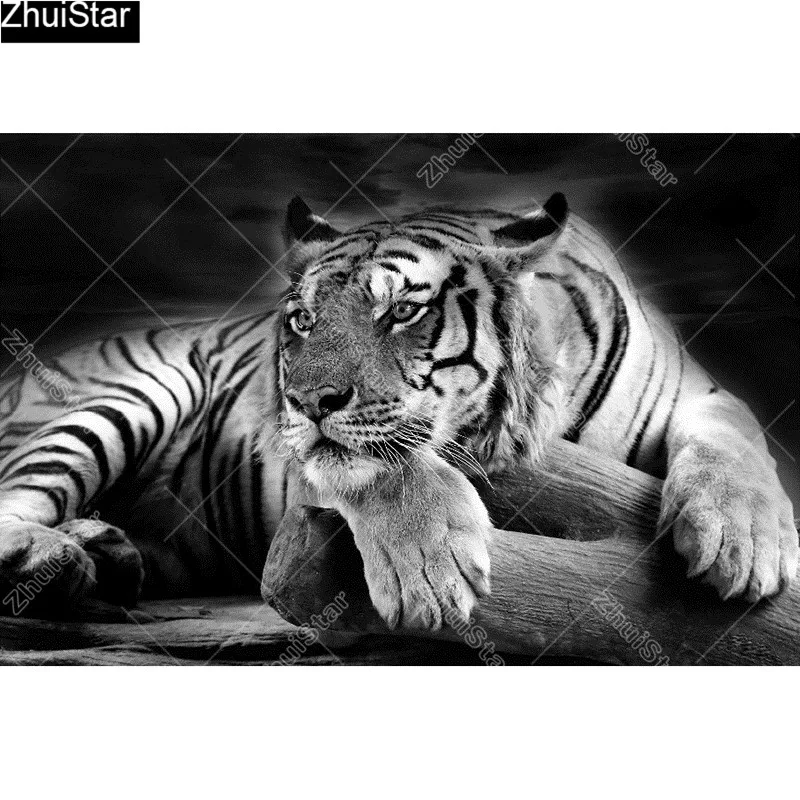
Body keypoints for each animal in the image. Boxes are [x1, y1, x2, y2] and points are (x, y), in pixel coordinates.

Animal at [0, 192, 796, 628]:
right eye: (302, 321)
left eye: (403, 312)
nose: (303, 400)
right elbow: (384, 466)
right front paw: (432, 572)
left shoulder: (702, 393)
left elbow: (737, 441)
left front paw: (742, 543)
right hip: (129, 391)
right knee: (14, 502)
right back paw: (56, 558)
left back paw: (108, 552)